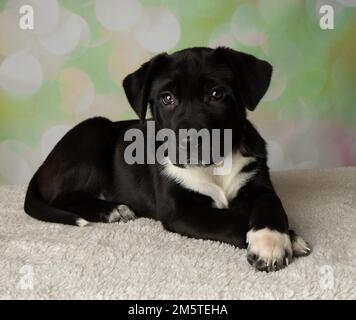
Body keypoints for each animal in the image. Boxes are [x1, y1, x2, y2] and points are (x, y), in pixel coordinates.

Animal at [24, 47, 312, 272]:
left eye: (216, 94)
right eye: (167, 98)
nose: (189, 142)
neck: (215, 167)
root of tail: (42, 167)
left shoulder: (258, 184)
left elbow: (271, 205)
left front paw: (272, 238)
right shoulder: (180, 211)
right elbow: (230, 219)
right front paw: (283, 240)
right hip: (94, 133)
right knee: (62, 199)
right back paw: (112, 209)